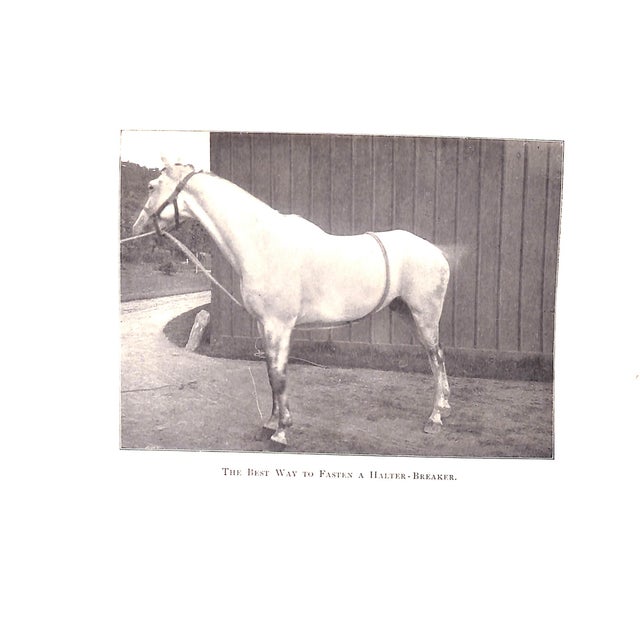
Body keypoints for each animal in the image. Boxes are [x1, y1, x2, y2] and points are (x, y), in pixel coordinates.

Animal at [133, 160, 451, 448]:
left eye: (152, 186)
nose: (136, 227)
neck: (264, 244)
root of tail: (438, 253)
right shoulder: (264, 325)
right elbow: (270, 373)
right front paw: (270, 424)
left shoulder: (279, 326)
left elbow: (279, 376)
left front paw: (281, 432)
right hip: (408, 313)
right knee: (435, 356)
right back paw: (444, 406)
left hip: (424, 315)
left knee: (435, 357)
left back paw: (435, 418)